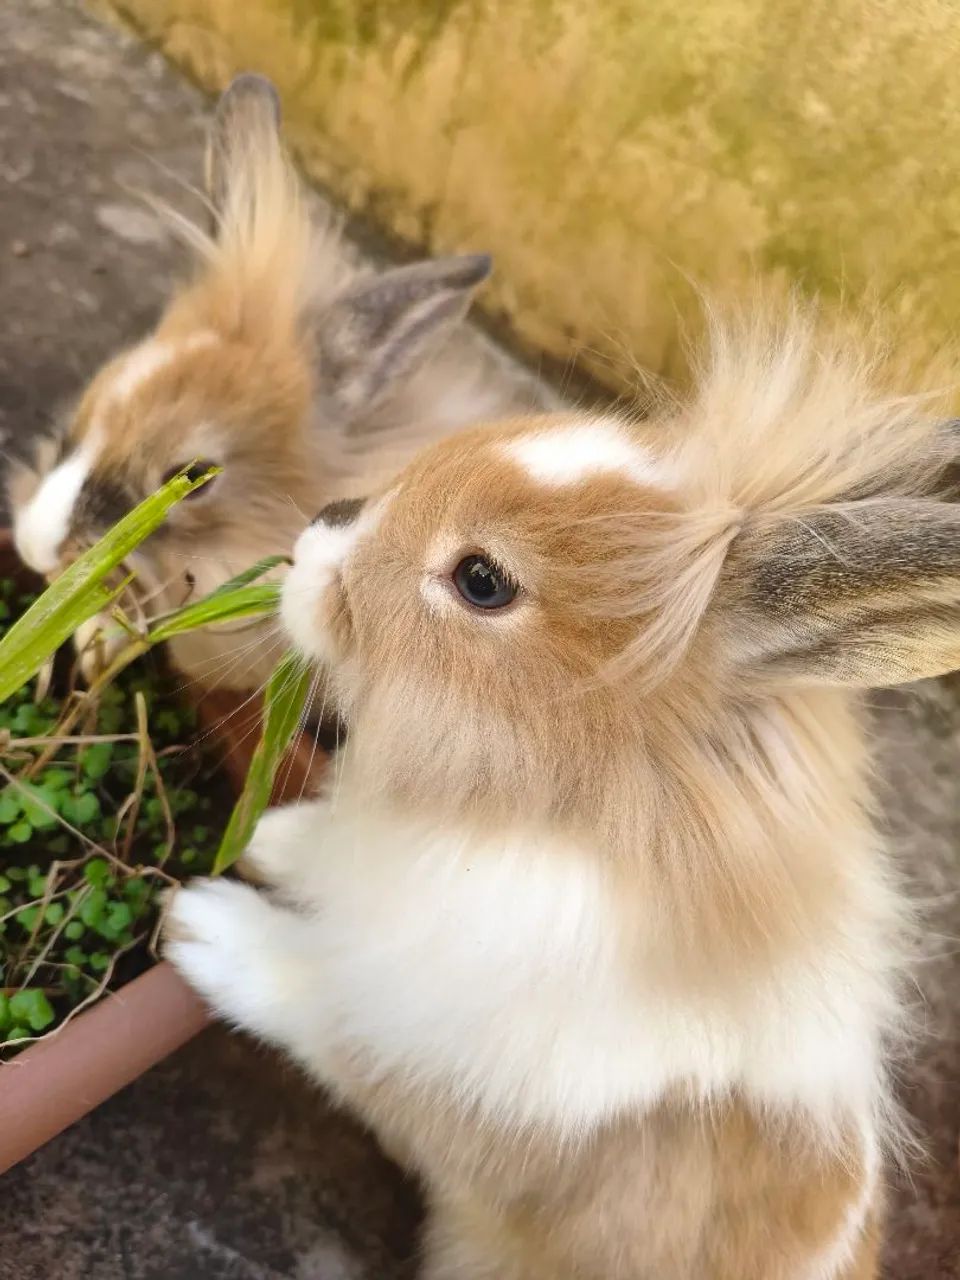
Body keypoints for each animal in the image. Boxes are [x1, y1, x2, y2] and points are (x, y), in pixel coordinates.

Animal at [160, 302, 960, 1279]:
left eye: (481, 580)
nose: (321, 528)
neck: (528, 820)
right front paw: (278, 838)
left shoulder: (444, 1070)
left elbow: (319, 1008)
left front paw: (204, 929)